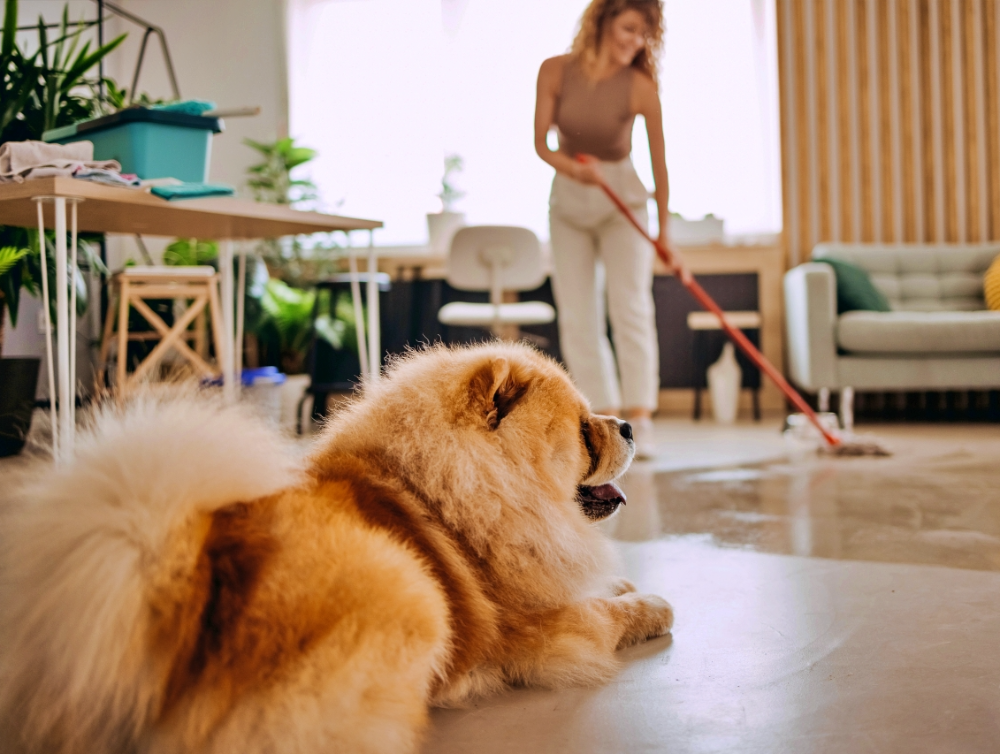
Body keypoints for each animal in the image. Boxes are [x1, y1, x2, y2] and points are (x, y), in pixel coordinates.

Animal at [1, 342, 672, 752]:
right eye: (584, 429)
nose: (628, 425)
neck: (464, 485)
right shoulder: (546, 625)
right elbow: (610, 613)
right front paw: (652, 605)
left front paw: (624, 581)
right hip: (412, 591)